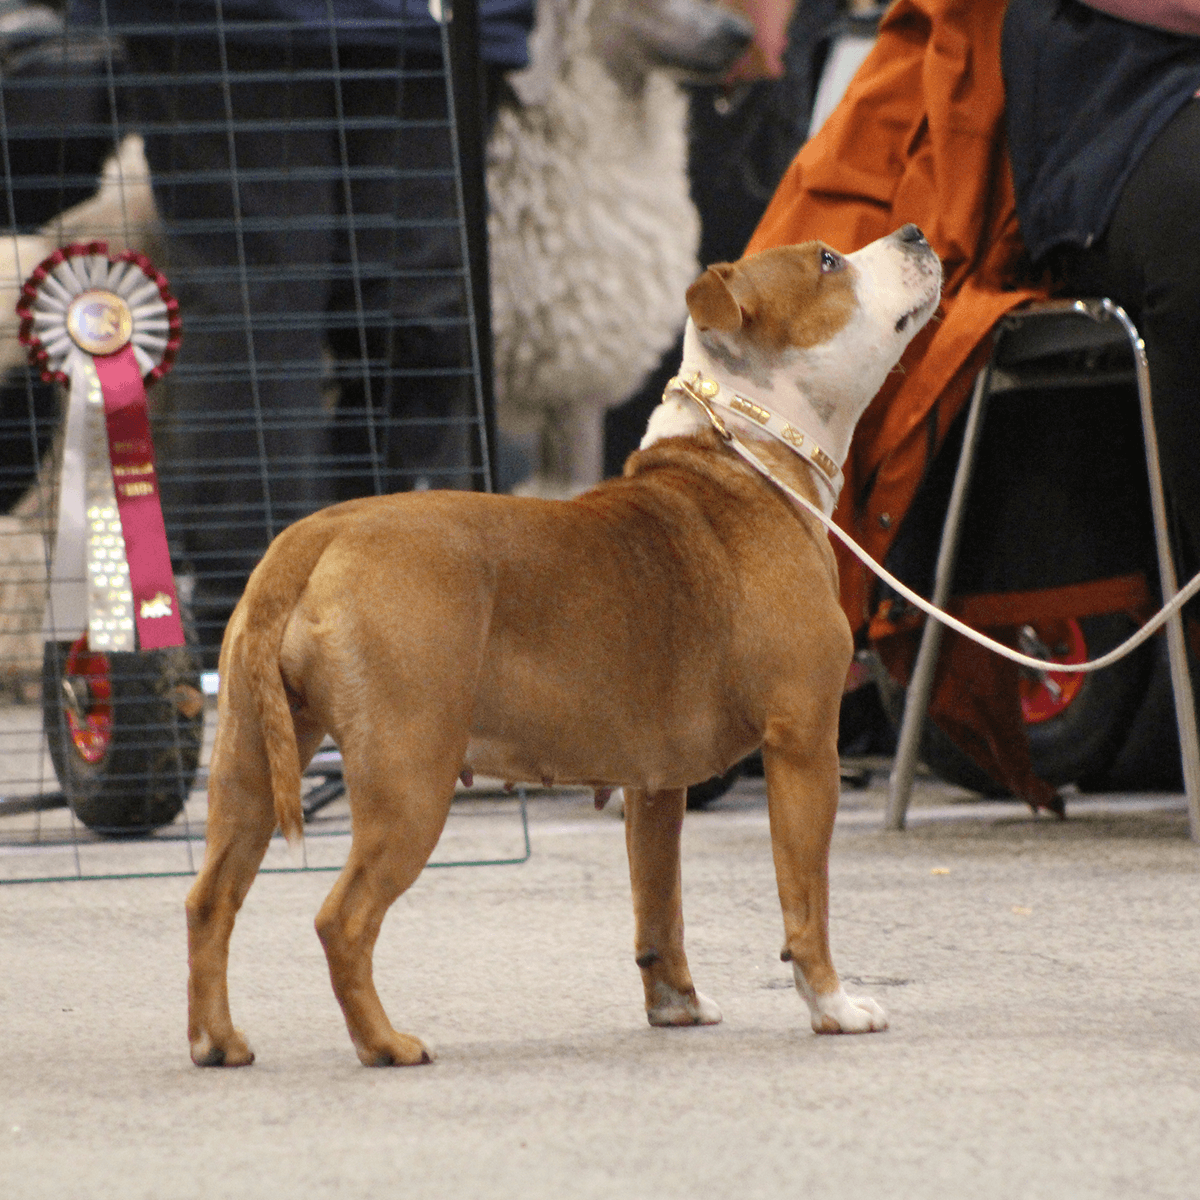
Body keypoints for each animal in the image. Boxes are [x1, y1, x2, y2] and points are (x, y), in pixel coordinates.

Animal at [187, 226, 940, 1070]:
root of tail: (317, 533)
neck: (744, 452)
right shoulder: (806, 744)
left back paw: (218, 1041)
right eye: (827, 263)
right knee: (342, 919)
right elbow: (806, 897)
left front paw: (676, 1005)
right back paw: (386, 1044)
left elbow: (660, 904)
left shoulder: (656, 785)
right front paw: (834, 1007)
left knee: (211, 898)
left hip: (249, 765)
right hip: (408, 779)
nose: (913, 232)